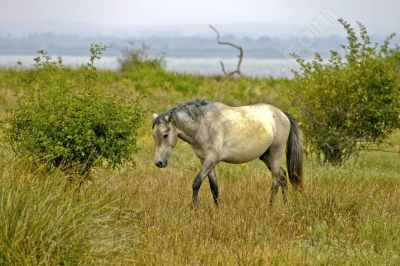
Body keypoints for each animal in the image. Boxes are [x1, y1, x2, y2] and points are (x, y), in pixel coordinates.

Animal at [151, 100, 304, 208]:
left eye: (165, 135)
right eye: (154, 135)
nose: (159, 163)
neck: (204, 124)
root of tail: (283, 114)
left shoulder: (211, 159)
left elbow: (196, 183)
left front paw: (193, 210)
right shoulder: (205, 161)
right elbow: (214, 187)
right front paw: (217, 210)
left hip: (275, 155)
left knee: (276, 181)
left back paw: (270, 208)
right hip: (267, 157)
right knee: (283, 177)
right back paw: (286, 204)